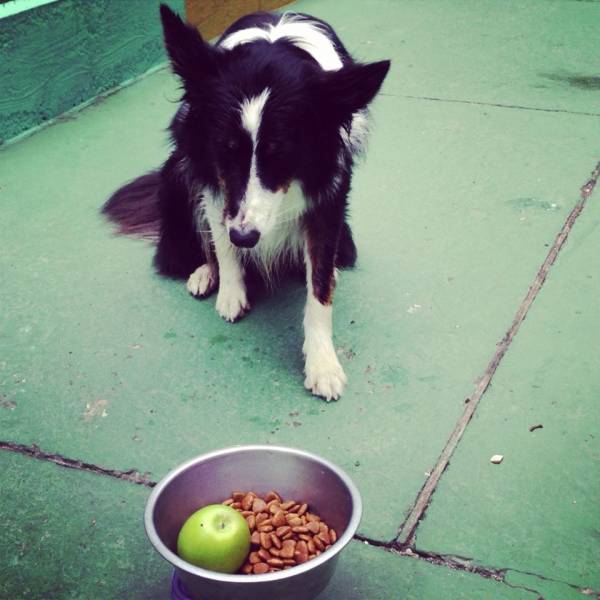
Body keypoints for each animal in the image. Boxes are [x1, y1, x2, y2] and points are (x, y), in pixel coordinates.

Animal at [104, 7, 390, 400]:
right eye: (226, 149)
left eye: (281, 154)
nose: (245, 238)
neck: (271, 53)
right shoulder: (211, 174)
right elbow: (222, 241)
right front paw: (231, 290)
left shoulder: (328, 194)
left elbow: (318, 290)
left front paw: (322, 363)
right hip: (177, 170)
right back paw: (205, 273)